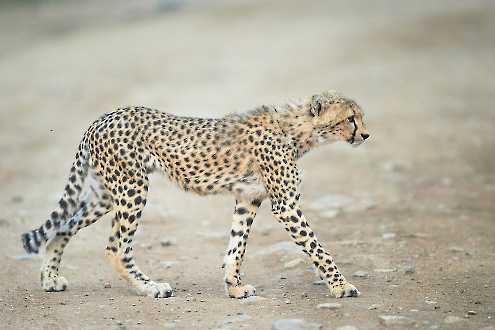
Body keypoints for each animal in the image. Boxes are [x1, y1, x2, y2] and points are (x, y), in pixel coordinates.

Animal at [22, 90, 372, 300]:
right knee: (116, 247)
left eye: (359, 117)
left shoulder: (248, 199)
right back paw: (150, 287)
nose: (367, 135)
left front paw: (234, 286)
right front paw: (341, 285)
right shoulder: (284, 205)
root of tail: (101, 119)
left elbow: (237, 247)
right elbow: (317, 247)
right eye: (351, 118)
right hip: (133, 189)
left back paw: (50, 279)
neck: (297, 130)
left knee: (62, 227)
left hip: (105, 195)